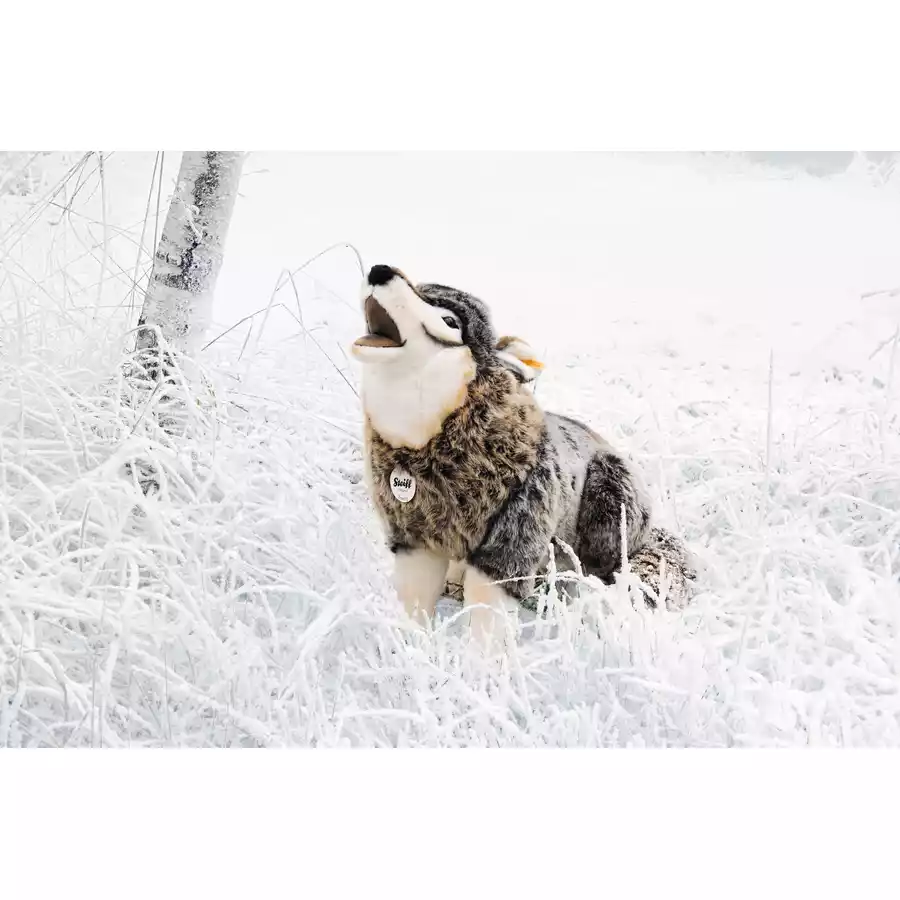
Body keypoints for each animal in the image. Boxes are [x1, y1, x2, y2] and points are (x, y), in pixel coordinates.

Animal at [351, 264, 695, 648]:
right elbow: (414, 595)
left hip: (610, 502)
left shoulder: (519, 524)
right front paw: (409, 646)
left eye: (450, 321)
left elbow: (489, 613)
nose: (381, 270)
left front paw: (478, 662)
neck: (422, 443)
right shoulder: (415, 533)